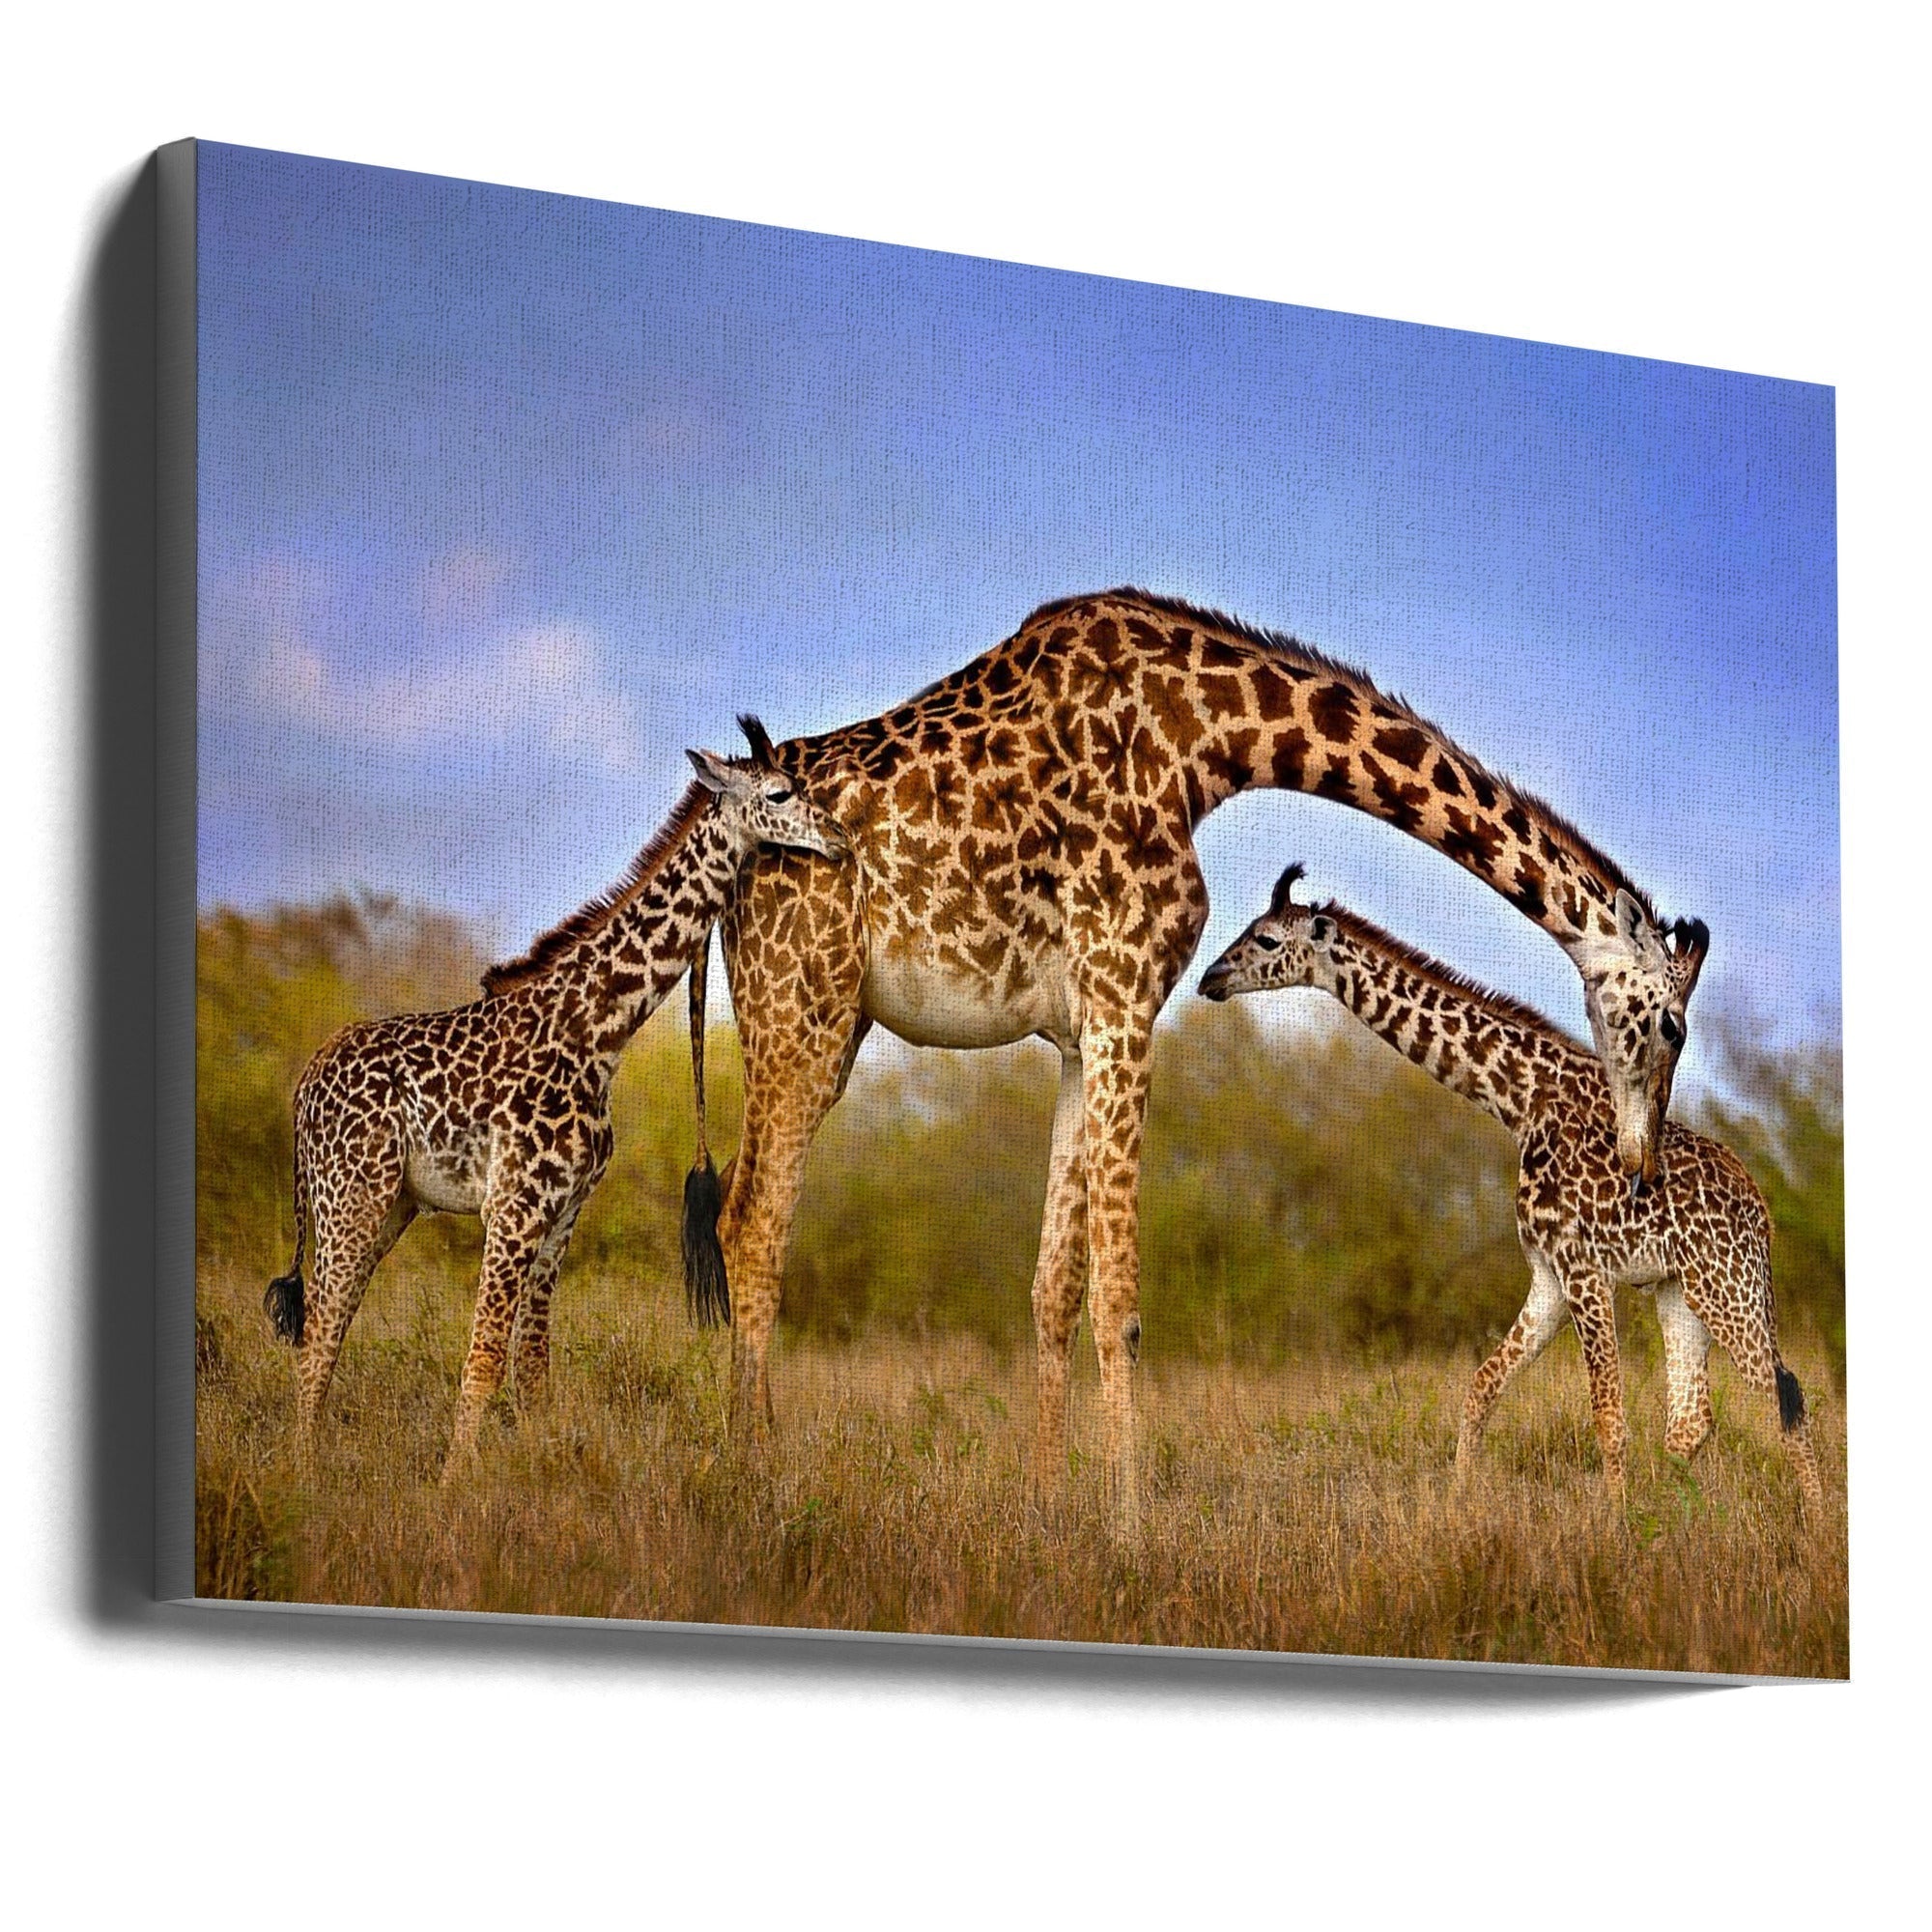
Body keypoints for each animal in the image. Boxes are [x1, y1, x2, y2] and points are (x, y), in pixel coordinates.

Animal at [264, 723, 847, 1471]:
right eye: (779, 793)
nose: (840, 838)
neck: (597, 1029)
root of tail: (304, 1087)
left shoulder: (563, 1211)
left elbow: (534, 1369)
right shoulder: (513, 1207)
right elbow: (484, 1360)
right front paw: (455, 1486)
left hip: (388, 1207)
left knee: (325, 1330)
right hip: (351, 1199)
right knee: (319, 1337)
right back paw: (302, 1476)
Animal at [685, 589, 1709, 1530]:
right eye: (1670, 1027)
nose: (1640, 1163)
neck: (1208, 736)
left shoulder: (1079, 1029)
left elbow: (1056, 1289)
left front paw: (1047, 1506)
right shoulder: (1126, 991)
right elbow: (1121, 1301)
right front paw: (1130, 1526)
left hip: (828, 1021)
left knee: (751, 1209)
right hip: (802, 1005)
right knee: (754, 1219)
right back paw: (751, 1484)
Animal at [1198, 864, 1821, 1507]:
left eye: (1267, 939)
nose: (1209, 977)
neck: (1520, 1102)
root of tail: (1761, 1213)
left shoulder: (1583, 1267)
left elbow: (1607, 1413)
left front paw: (1614, 1522)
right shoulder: (1548, 1275)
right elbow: (1482, 1386)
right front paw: (1457, 1502)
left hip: (1728, 1287)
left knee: (1786, 1397)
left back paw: (1815, 1520)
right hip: (1681, 1291)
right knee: (1693, 1418)